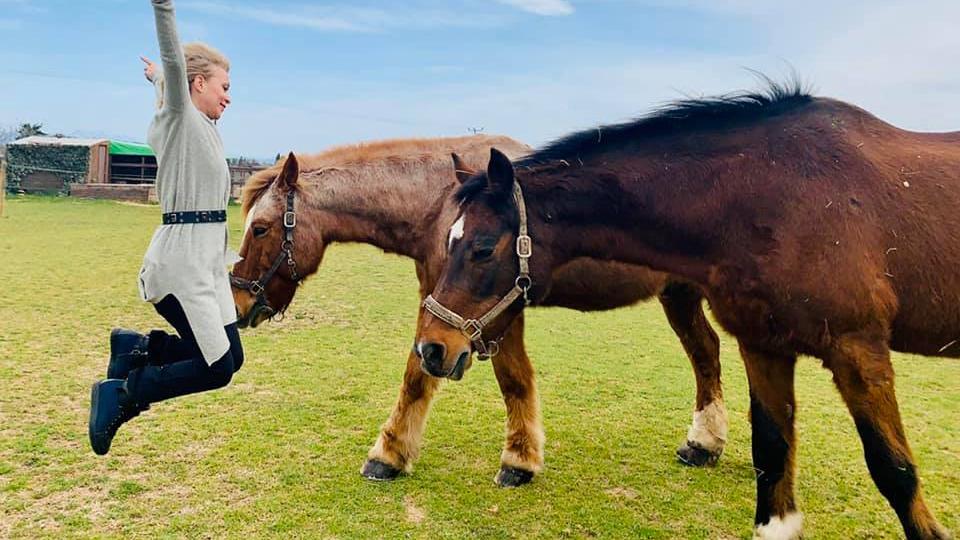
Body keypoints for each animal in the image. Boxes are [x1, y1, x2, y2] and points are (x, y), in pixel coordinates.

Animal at [229, 134, 732, 486]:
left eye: (260, 228)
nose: (238, 302)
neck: (440, 205)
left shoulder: (487, 311)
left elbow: (478, 377)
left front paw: (513, 460)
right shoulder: (450, 308)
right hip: (680, 294)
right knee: (705, 352)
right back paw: (703, 444)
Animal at [418, 81, 960, 540]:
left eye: (483, 248)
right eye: (449, 241)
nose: (432, 348)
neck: (780, 193)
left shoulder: (858, 349)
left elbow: (894, 469)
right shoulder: (763, 345)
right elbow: (771, 448)